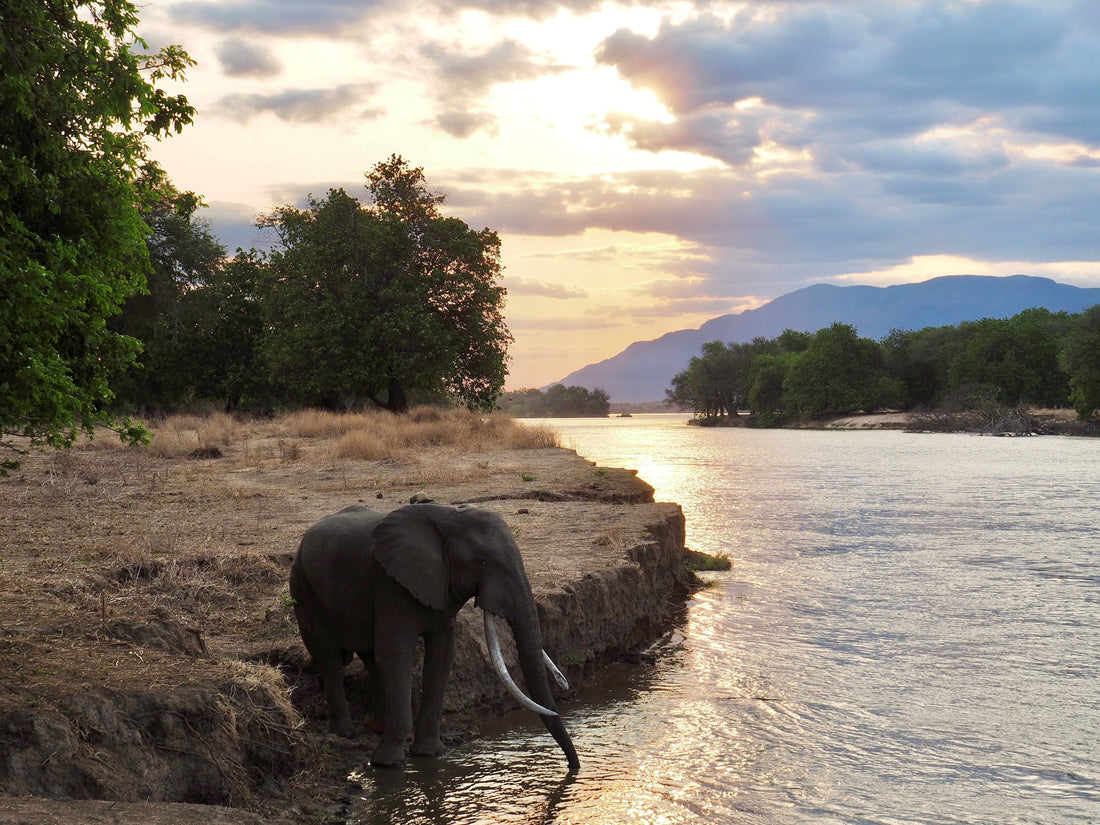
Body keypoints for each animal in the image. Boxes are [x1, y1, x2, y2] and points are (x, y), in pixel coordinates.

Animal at [288, 503, 580, 774]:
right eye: (483, 562)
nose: (573, 767)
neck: (449, 517)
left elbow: (442, 655)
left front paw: (430, 754)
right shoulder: (390, 584)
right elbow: (397, 654)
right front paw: (387, 764)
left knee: (370, 657)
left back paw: (376, 726)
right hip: (302, 589)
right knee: (329, 658)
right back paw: (344, 733)